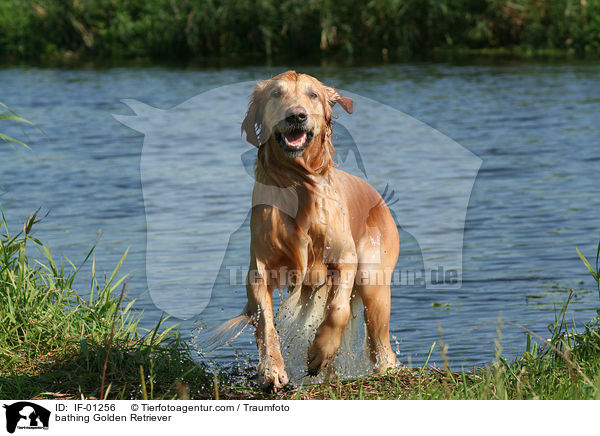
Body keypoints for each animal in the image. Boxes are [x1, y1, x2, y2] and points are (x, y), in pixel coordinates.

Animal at [239, 71, 398, 392]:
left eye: (313, 95)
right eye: (276, 94)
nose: (296, 116)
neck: (298, 182)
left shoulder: (345, 258)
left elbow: (338, 310)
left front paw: (319, 352)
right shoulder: (259, 269)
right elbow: (266, 324)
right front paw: (272, 370)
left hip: (374, 280)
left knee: (381, 342)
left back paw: (384, 370)